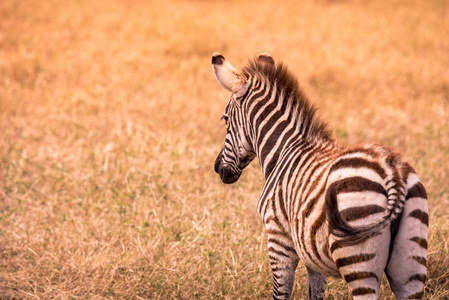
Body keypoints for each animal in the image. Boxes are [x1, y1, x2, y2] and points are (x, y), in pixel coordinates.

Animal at [210, 52, 428, 298]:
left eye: (225, 119)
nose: (218, 169)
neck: (285, 149)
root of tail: (391, 173)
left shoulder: (278, 238)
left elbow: (281, 292)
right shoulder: (310, 251)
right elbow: (314, 292)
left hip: (357, 256)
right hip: (410, 261)